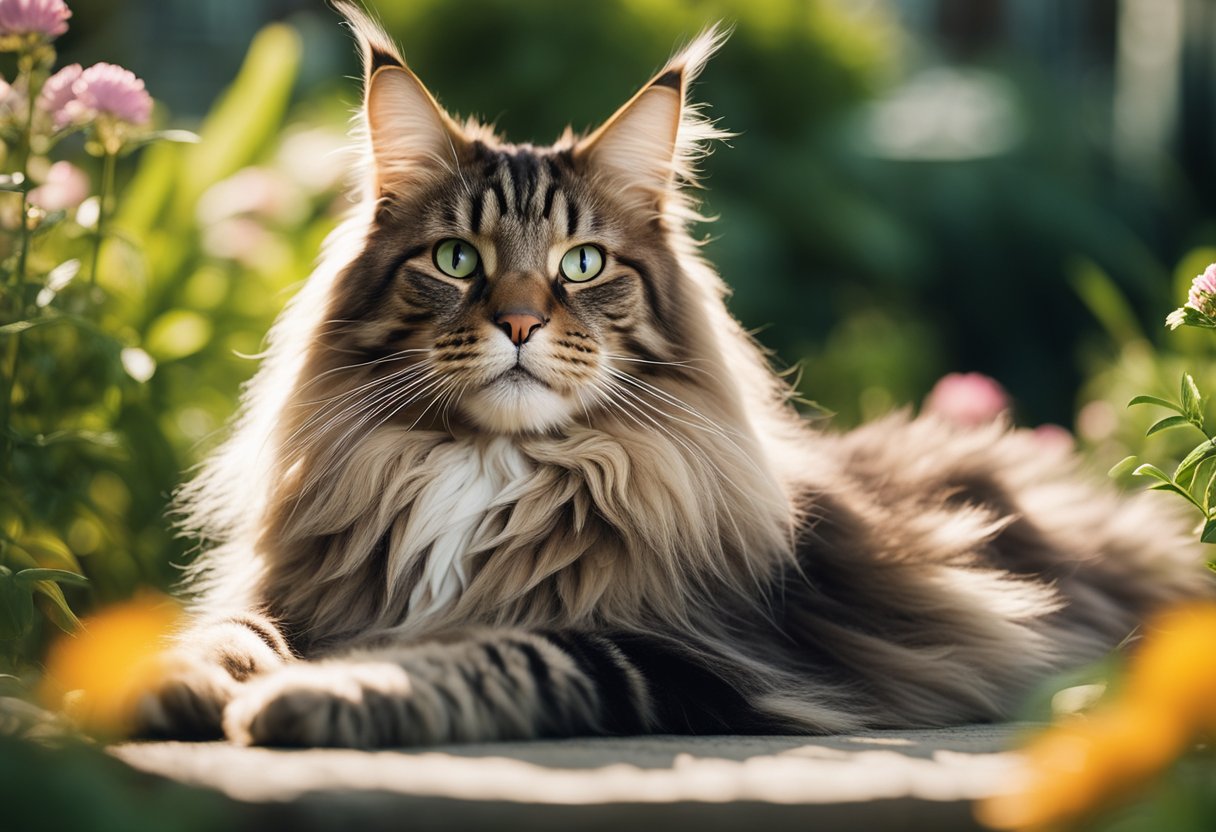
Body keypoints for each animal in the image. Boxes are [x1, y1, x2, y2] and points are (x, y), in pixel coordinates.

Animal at [133, 3, 1206, 749]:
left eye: (582, 264)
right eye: (456, 259)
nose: (518, 321)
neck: (488, 474)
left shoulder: (693, 656)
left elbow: (496, 652)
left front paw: (324, 693)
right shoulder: (297, 598)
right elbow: (227, 632)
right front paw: (162, 681)